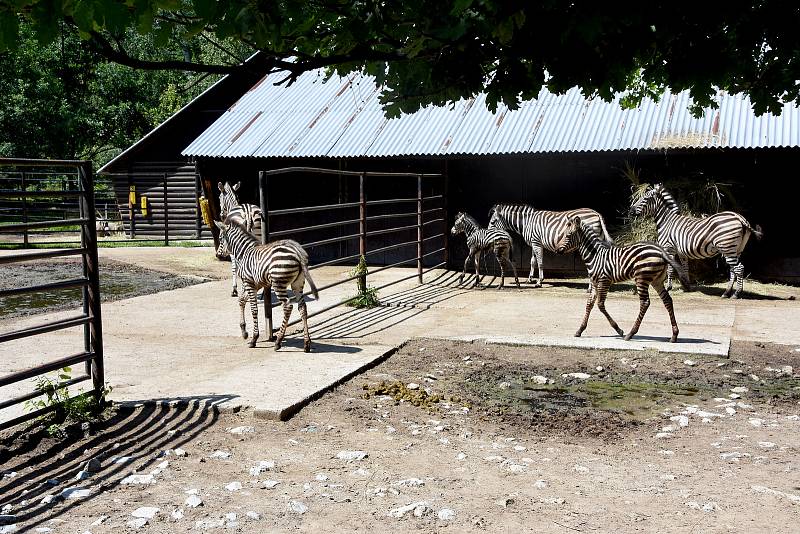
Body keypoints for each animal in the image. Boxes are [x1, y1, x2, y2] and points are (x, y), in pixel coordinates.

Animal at [217, 218, 320, 352]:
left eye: (220, 238)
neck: (244, 251)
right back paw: (306, 343)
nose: (217, 255)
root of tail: (298, 252)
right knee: (302, 307)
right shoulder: (256, 284)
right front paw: (244, 331)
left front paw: (254, 339)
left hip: (278, 283)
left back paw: (278, 341)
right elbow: (241, 300)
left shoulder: (249, 282)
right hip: (298, 283)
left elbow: (253, 309)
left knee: (287, 306)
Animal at [552, 217, 692, 344]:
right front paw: (580, 330)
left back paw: (630, 334)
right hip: (656, 280)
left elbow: (600, 305)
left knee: (645, 302)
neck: (595, 256)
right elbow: (589, 305)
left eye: (568, 235)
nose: (557, 250)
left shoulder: (604, 281)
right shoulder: (595, 283)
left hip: (641, 278)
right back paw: (674, 335)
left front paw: (618, 330)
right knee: (667, 300)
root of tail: (661, 251)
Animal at [632, 184, 764, 302]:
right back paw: (726, 293)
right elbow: (684, 268)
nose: (631, 211)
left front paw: (669, 287)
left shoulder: (668, 248)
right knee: (733, 270)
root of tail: (739, 217)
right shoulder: (681, 251)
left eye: (645, 199)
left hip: (728, 247)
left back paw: (736, 294)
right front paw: (686, 286)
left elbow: (670, 268)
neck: (667, 221)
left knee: (739, 268)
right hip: (736, 249)